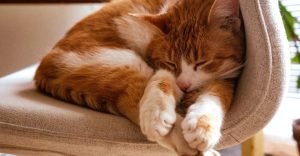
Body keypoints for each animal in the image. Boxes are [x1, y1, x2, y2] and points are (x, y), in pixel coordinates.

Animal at [34, 0, 244, 155]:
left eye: (201, 63)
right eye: (172, 63)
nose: (184, 85)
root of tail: (42, 67)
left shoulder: (226, 77)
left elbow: (215, 95)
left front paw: (202, 125)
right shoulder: (159, 65)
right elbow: (161, 79)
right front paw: (157, 113)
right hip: (123, 60)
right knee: (132, 97)